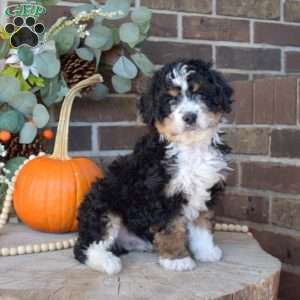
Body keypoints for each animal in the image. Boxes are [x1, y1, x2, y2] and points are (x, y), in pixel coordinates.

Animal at [74, 58, 233, 274]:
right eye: (170, 100)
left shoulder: (206, 190)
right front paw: (177, 259)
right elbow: (171, 229)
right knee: (87, 245)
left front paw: (206, 251)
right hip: (104, 204)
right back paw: (107, 261)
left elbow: (202, 224)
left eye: (200, 93)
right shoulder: (161, 196)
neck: (190, 148)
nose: (189, 116)